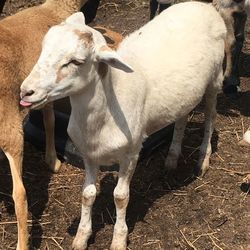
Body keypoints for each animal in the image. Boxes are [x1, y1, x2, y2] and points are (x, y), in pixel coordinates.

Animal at [20, 2, 227, 250]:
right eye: (43, 48)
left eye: (76, 61)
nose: (26, 91)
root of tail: (203, 5)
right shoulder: (89, 153)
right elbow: (87, 194)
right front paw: (81, 236)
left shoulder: (131, 152)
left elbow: (120, 196)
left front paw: (119, 238)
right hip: (184, 94)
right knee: (182, 118)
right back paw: (172, 158)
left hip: (215, 78)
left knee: (210, 117)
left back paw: (203, 159)